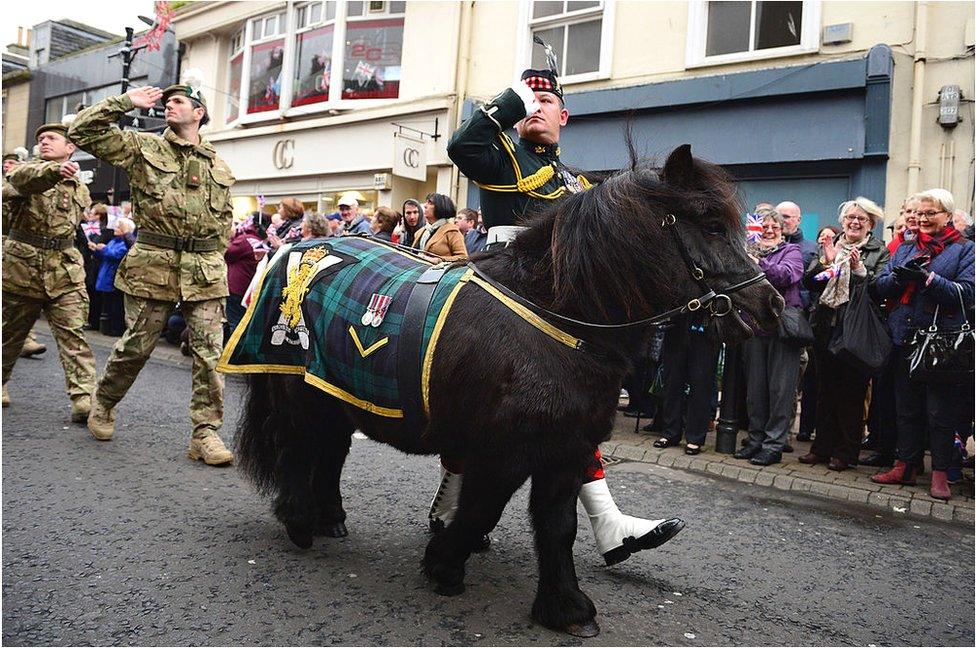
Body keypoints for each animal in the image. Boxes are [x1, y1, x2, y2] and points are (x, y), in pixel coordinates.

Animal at [236, 144, 784, 636]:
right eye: (710, 223)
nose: (772, 305)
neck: (556, 320)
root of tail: (292, 252)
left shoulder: (566, 449)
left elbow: (558, 526)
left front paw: (564, 606)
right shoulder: (503, 453)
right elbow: (484, 509)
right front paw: (444, 564)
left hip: (335, 396)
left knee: (330, 451)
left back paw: (329, 517)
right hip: (301, 393)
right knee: (298, 448)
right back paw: (299, 520)